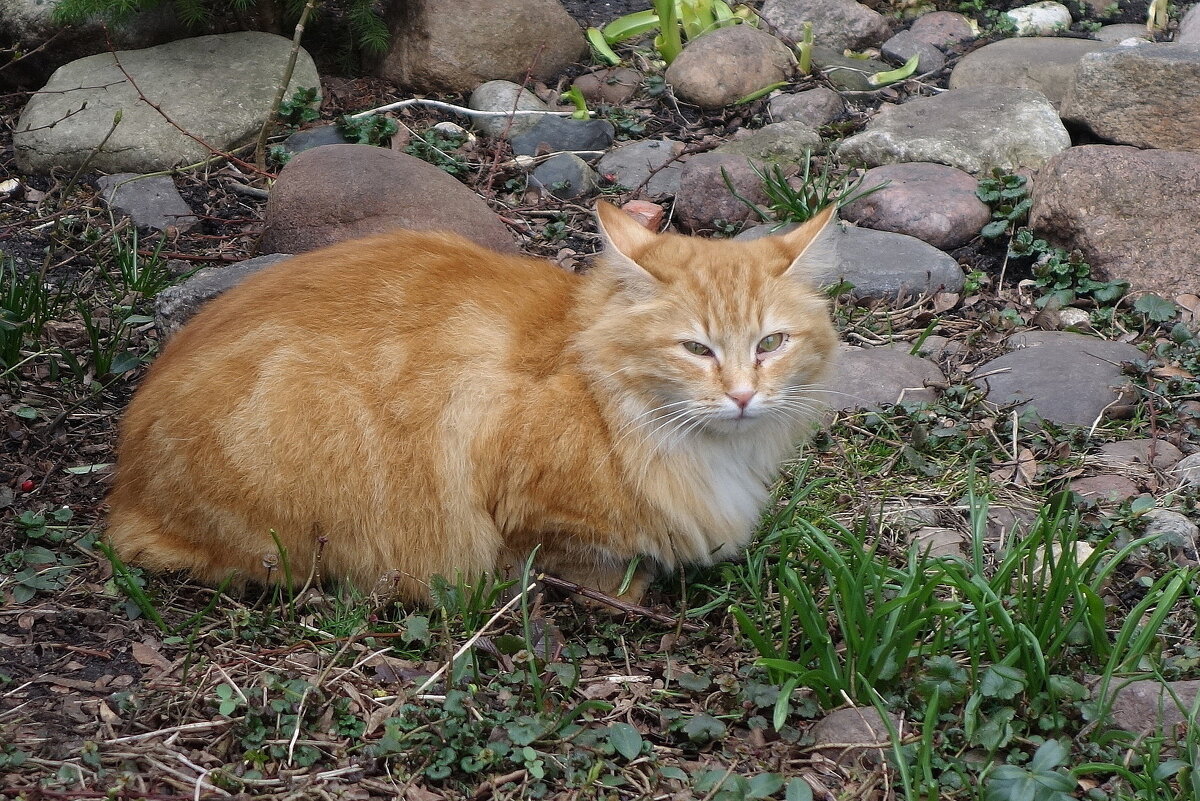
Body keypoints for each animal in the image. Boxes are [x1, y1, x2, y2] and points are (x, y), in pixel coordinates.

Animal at [108, 203, 840, 604]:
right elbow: (575, 558)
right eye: (695, 348)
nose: (743, 394)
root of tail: (125, 489)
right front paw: (628, 589)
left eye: (770, 343)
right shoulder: (529, 511)